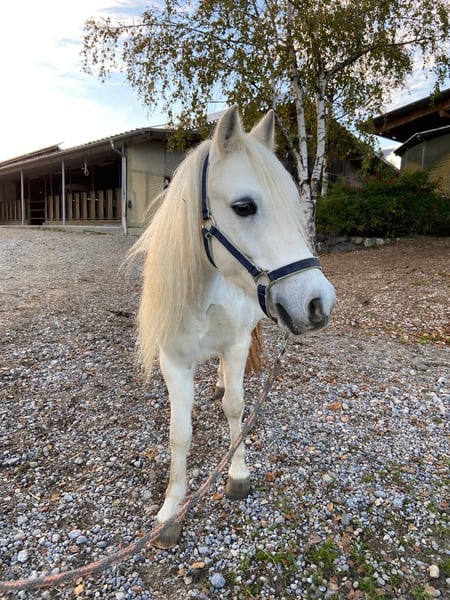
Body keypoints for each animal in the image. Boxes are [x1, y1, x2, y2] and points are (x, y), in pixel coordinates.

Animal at [131, 105, 336, 548]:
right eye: (243, 207)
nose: (318, 303)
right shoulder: (174, 361)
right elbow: (179, 432)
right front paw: (171, 511)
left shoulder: (238, 344)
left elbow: (236, 408)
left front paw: (237, 474)